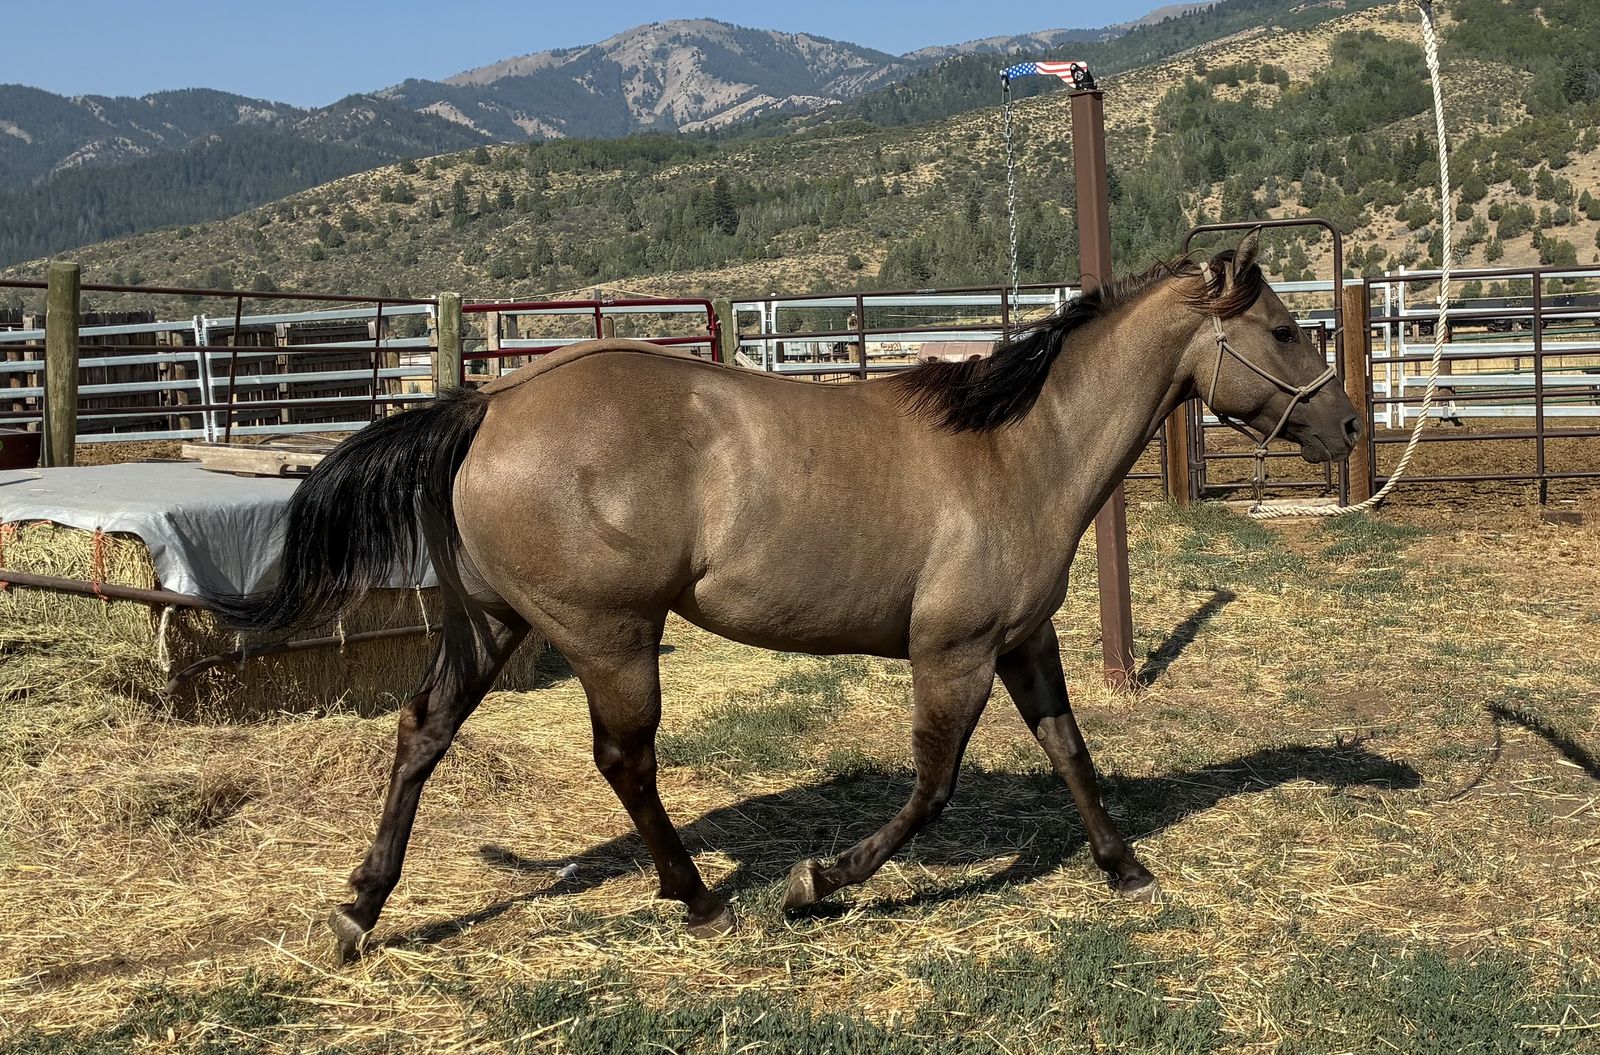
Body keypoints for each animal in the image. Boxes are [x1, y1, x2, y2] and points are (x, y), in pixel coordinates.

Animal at [213, 230, 1360, 962]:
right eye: (1287, 328)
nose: (1347, 425)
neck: (1017, 451)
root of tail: (490, 403)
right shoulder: (953, 652)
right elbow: (933, 787)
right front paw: (818, 881)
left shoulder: (1024, 641)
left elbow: (1071, 753)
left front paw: (1126, 869)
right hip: (610, 635)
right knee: (625, 762)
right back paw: (698, 899)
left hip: (489, 624)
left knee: (421, 732)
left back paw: (360, 909)